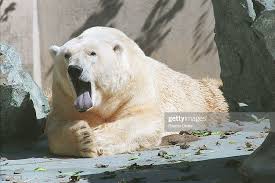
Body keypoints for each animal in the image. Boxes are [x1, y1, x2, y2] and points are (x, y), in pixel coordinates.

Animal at [47, 26, 229, 157]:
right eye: (66, 55)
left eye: (92, 53)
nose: (74, 69)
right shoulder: (63, 97)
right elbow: (55, 126)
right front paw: (83, 137)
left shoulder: (135, 86)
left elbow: (142, 118)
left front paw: (96, 140)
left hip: (204, 99)